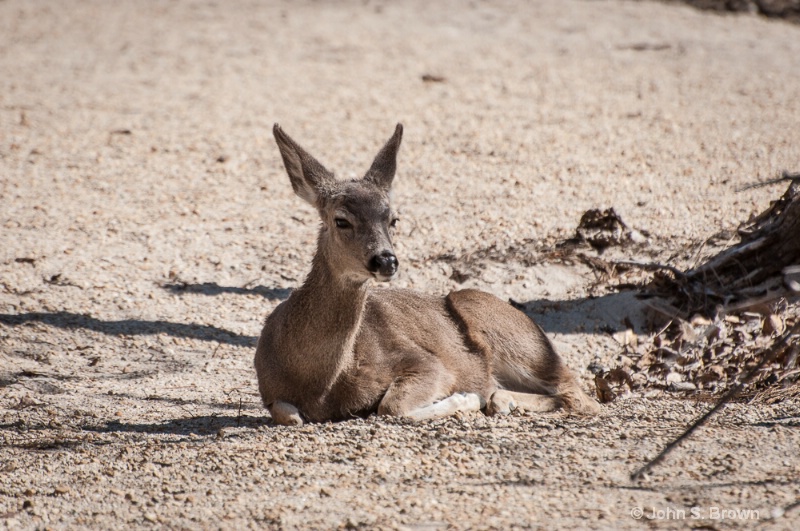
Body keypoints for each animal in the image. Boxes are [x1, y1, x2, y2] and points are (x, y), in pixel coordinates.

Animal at [256, 122, 600, 426]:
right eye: (341, 220)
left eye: (393, 219)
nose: (386, 260)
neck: (320, 382)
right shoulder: (270, 390)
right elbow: (290, 414)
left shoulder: (424, 361)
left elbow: (392, 406)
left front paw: (465, 398)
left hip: (512, 336)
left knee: (578, 395)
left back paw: (500, 400)